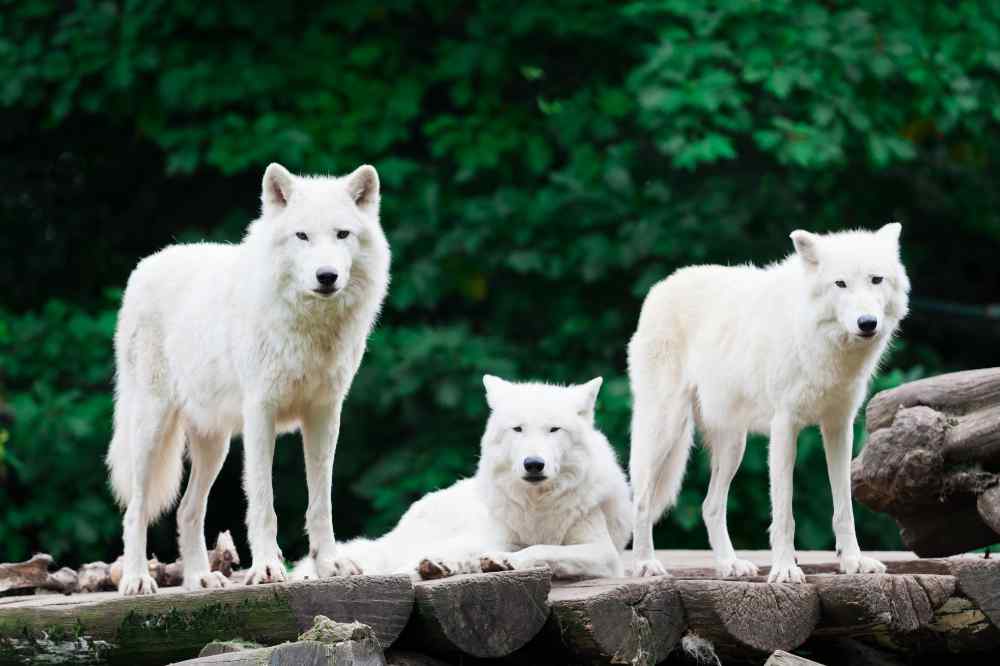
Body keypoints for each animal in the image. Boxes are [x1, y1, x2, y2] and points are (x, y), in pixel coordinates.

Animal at [106, 163, 390, 592]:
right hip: (150, 431)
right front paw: (267, 569)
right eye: (302, 236)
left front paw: (330, 565)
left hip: (215, 444)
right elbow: (263, 501)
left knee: (188, 510)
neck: (310, 328)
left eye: (342, 234)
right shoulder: (261, 414)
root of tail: (145, 266)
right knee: (135, 509)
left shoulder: (325, 414)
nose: (326, 276)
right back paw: (137, 580)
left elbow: (321, 501)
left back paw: (200, 579)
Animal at [292, 376, 628, 580]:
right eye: (518, 429)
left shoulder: (603, 553)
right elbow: (525, 548)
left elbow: (543, 550)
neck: (537, 506)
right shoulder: (500, 536)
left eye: (554, 429)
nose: (533, 464)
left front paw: (507, 561)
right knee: (403, 562)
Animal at [628, 224, 912, 580]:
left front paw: (852, 561)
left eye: (876, 279)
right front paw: (785, 570)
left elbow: (844, 508)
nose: (867, 323)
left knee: (710, 505)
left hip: (733, 445)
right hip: (666, 430)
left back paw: (730, 565)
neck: (819, 341)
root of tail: (661, 287)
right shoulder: (784, 427)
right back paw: (645, 564)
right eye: (840, 283)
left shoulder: (839, 427)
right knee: (641, 500)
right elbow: (784, 515)